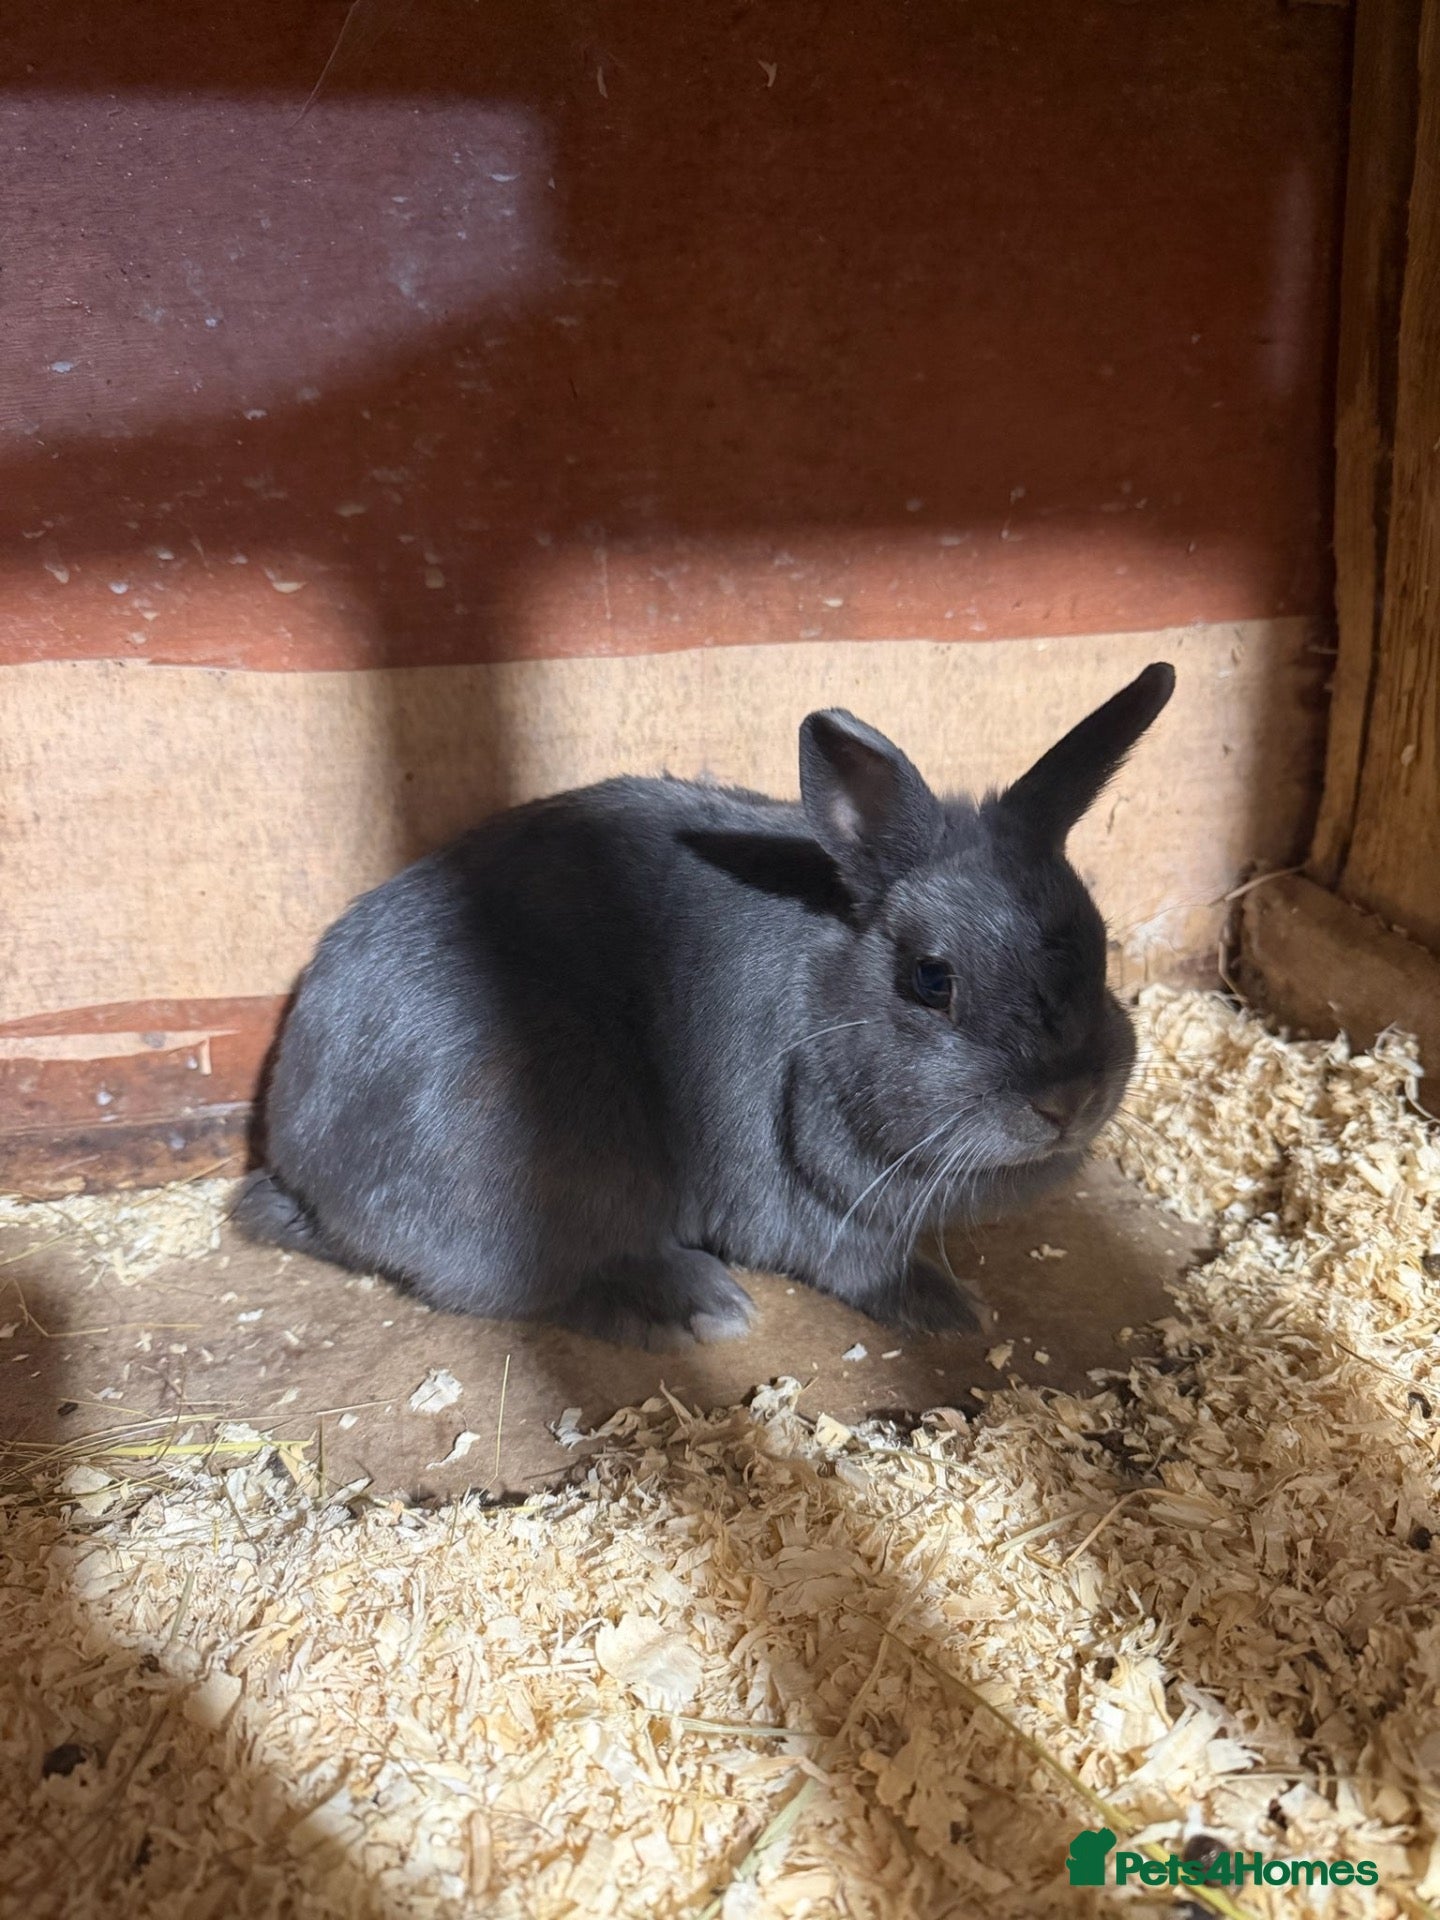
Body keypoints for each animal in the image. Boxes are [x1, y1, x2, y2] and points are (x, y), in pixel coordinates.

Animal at [234, 661, 1174, 1347]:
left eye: (1097, 938)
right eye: (931, 979)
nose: (1067, 1101)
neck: (821, 1011)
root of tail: (297, 1153)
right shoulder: (817, 1214)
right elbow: (869, 1271)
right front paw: (953, 1312)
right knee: (527, 1287)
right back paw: (700, 1306)